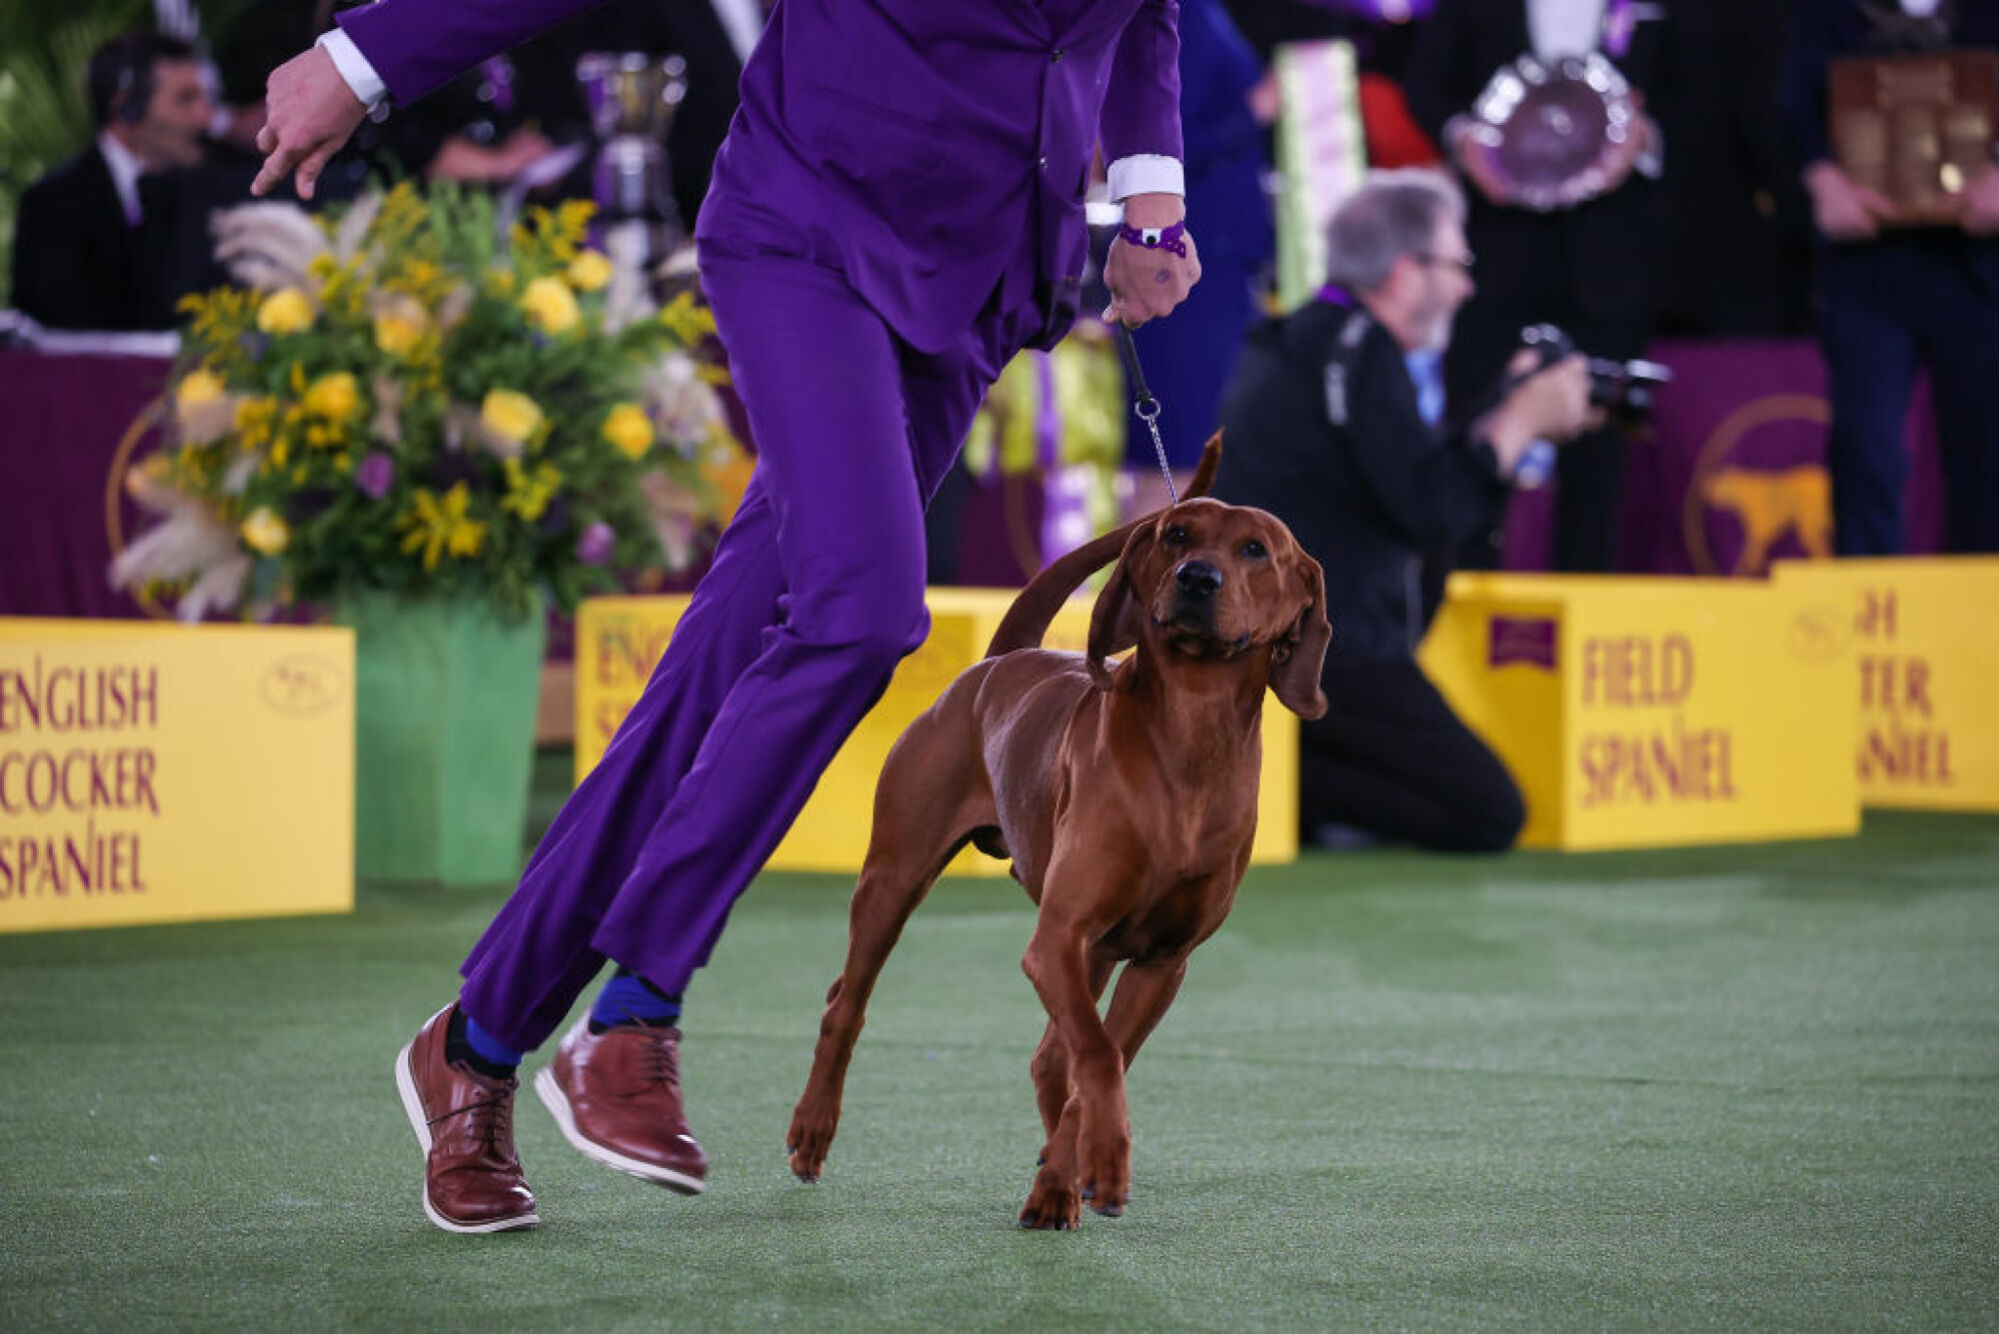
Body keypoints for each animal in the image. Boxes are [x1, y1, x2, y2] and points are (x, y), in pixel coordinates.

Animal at [787, 440, 1335, 1232]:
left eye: (1256, 549)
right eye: (1176, 535)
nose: (1197, 579)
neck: (1191, 736)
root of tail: (1002, 659)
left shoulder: (1161, 962)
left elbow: (1101, 1059)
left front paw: (1072, 1175)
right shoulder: (1057, 938)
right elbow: (1098, 1058)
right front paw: (1090, 1167)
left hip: (1098, 950)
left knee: (1053, 1056)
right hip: (895, 876)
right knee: (846, 1005)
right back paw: (812, 1130)